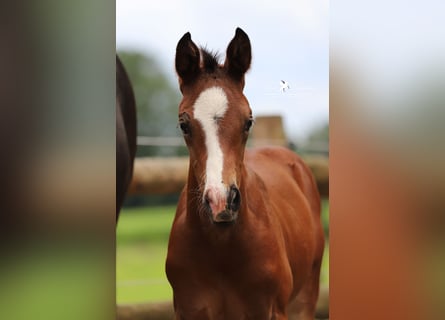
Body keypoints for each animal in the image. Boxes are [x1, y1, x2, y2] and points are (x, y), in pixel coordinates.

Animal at [166, 28, 322, 320]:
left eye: (248, 121)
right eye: (183, 124)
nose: (221, 202)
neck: (221, 249)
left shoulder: (271, 311)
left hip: (305, 299)